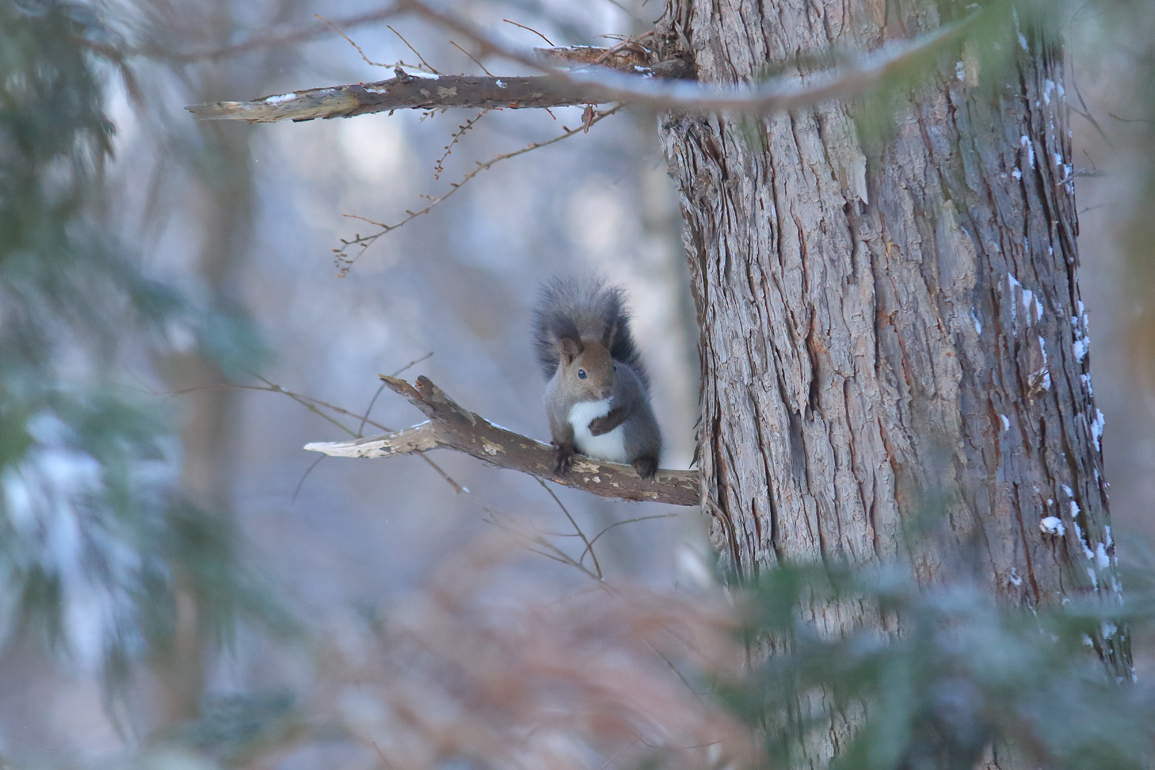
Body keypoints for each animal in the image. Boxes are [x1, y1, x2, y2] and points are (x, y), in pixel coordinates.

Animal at [528, 277, 660, 477]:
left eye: (614, 366)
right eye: (581, 373)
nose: (607, 392)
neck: (588, 401)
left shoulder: (628, 386)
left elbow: (627, 406)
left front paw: (602, 425)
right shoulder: (555, 405)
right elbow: (560, 431)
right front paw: (564, 452)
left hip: (637, 431)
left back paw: (645, 462)